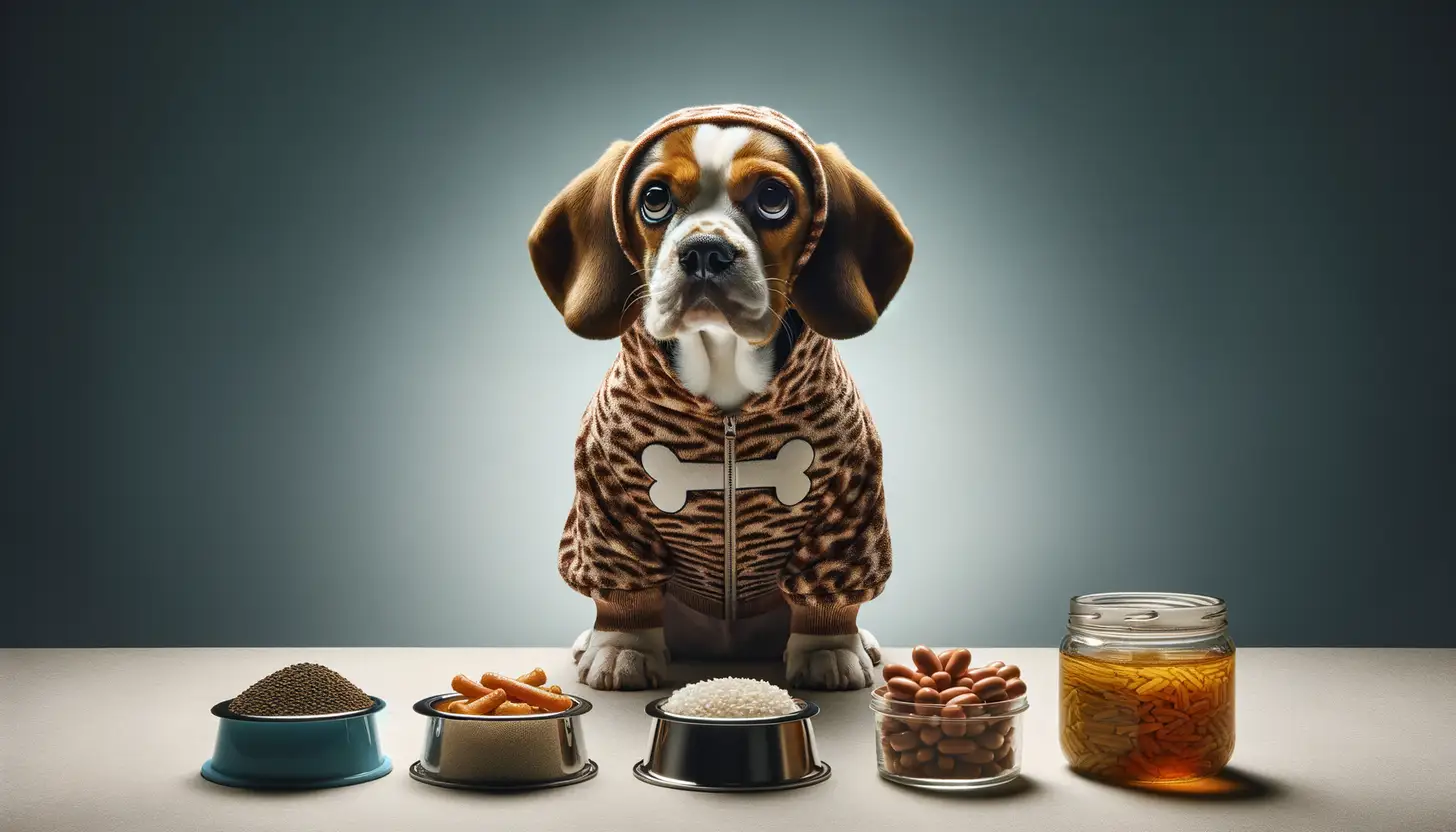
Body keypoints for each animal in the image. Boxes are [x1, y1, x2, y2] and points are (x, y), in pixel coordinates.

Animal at [524, 102, 908, 690]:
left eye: (773, 198)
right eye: (655, 198)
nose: (705, 249)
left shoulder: (849, 507)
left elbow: (828, 594)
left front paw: (829, 648)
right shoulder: (608, 508)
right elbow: (623, 594)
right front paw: (622, 646)